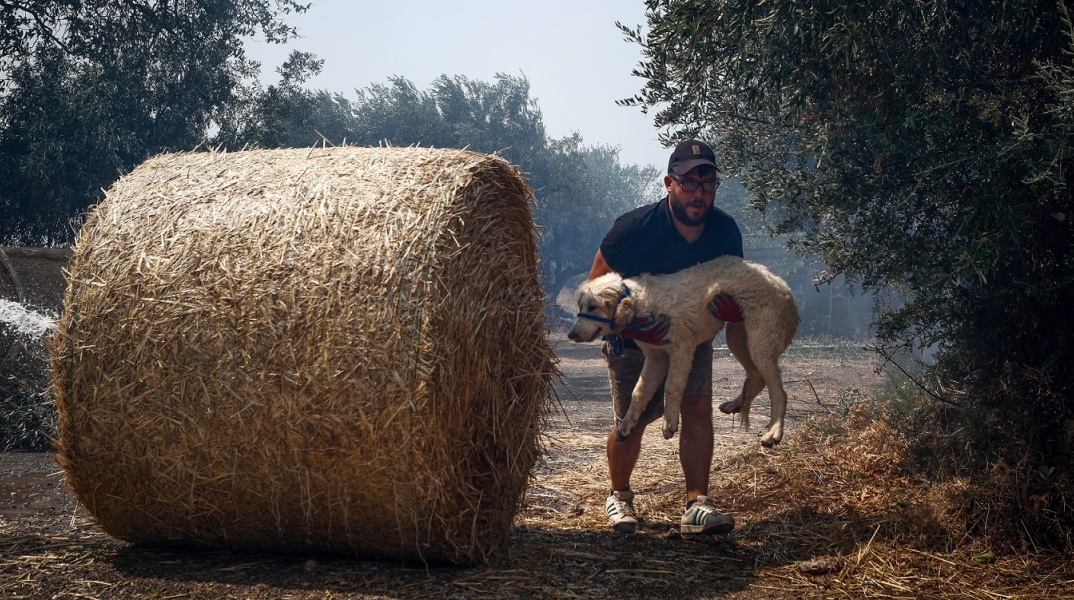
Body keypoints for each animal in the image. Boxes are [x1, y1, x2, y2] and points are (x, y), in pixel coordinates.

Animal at [571, 255, 799, 448]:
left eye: (592, 307)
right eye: (581, 306)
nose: (571, 335)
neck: (642, 304)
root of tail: (783, 285)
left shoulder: (682, 349)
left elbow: (671, 386)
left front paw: (670, 421)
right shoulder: (656, 357)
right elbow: (638, 392)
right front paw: (627, 424)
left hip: (759, 344)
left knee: (779, 392)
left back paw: (774, 432)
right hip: (738, 337)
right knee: (756, 376)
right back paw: (736, 404)